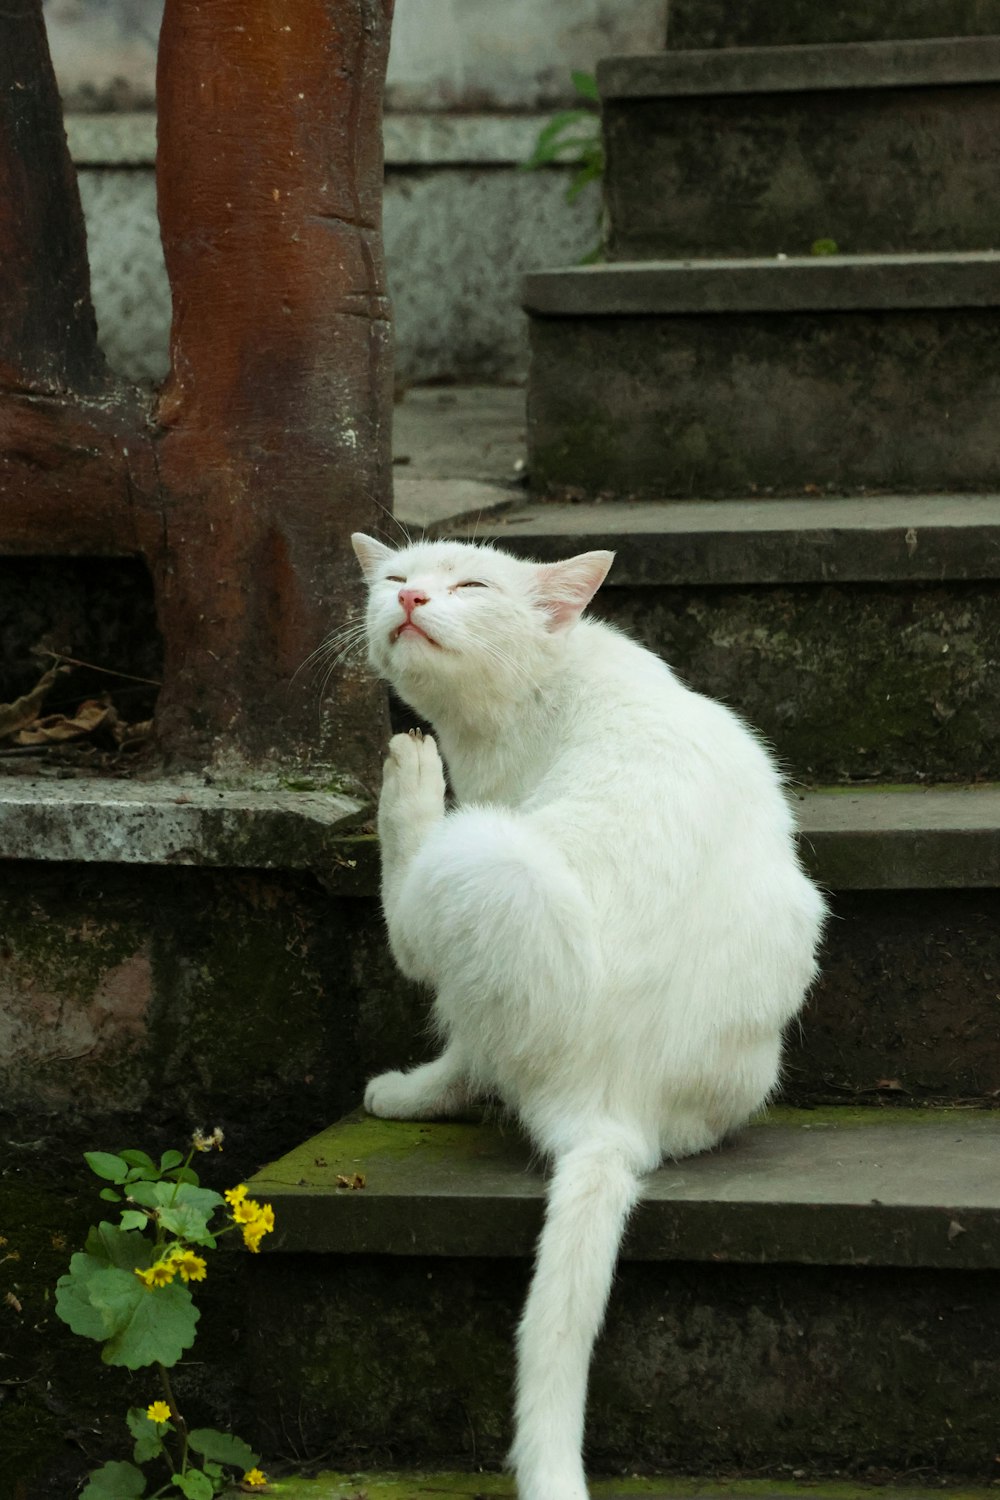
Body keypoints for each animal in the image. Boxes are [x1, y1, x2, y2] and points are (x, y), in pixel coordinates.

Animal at [347, 534, 827, 1494]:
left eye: (470, 586)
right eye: (395, 579)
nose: (410, 600)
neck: (547, 682)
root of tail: (612, 1114)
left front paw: (410, 766)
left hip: (486, 851)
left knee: (438, 973)